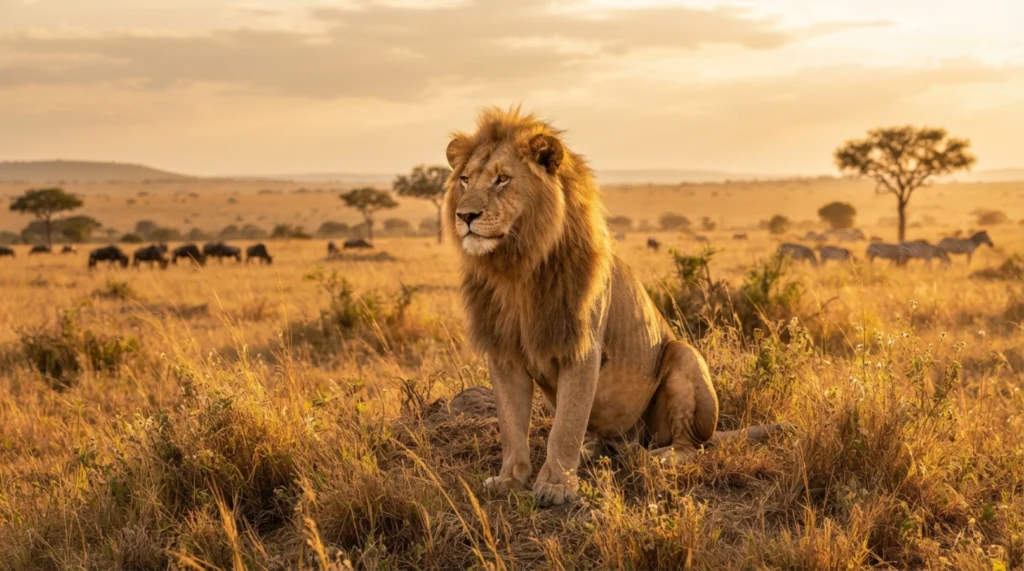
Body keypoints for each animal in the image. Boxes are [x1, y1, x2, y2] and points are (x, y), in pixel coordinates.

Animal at [443, 107, 783, 507]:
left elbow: (566, 426)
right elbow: (512, 426)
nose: (465, 216)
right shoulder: (504, 351)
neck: (515, 269)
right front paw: (510, 479)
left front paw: (556, 486)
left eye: (502, 179)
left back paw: (655, 457)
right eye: (464, 180)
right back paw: (594, 450)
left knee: (689, 445)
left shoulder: (581, 346)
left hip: (684, 356)